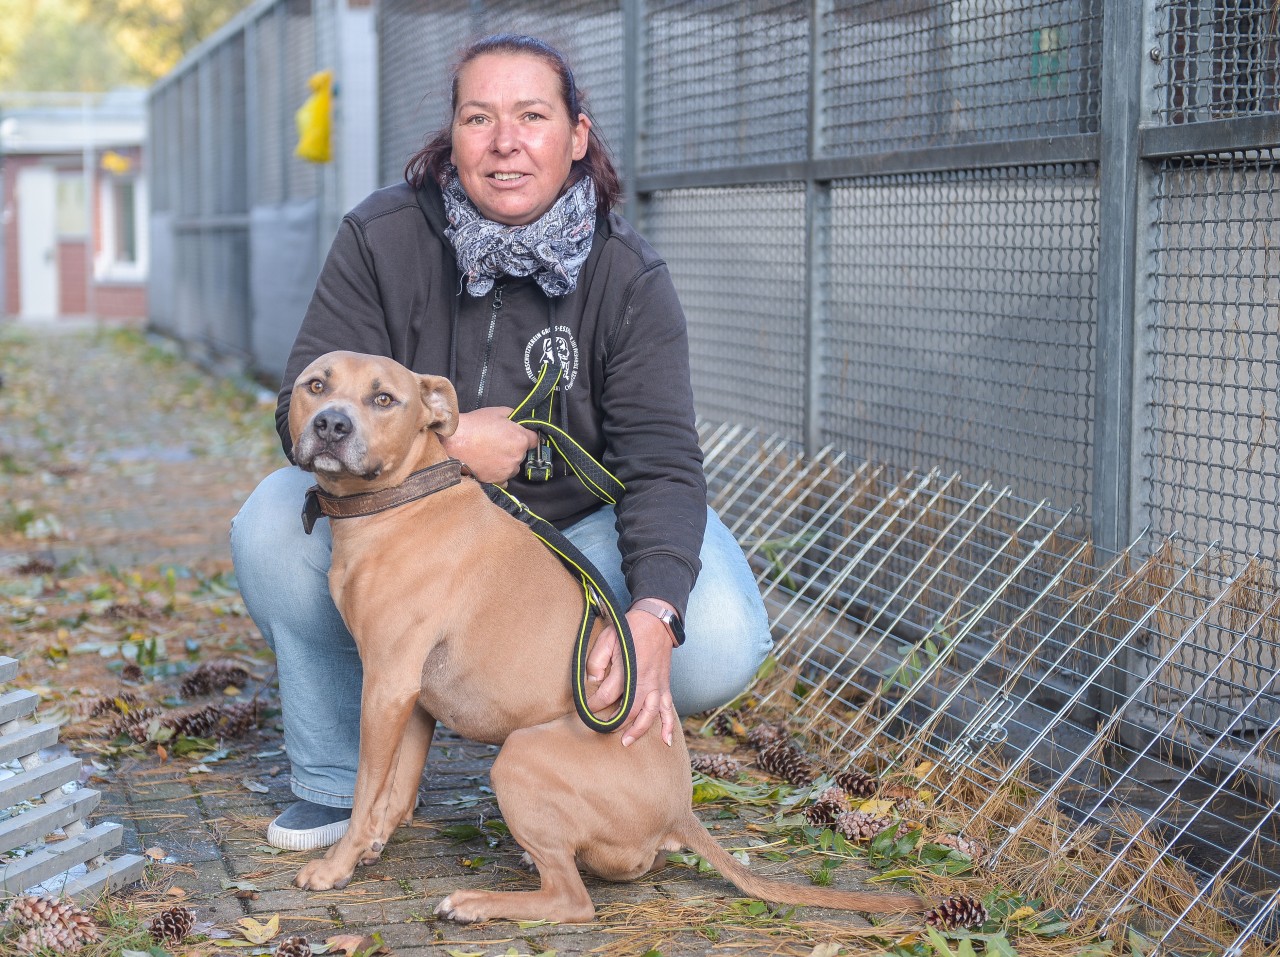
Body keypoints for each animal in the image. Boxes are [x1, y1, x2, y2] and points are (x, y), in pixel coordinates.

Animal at [286, 350, 926, 921]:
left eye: (383, 399)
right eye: (316, 385)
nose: (331, 424)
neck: (402, 500)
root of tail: (680, 812)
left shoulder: (386, 686)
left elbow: (365, 788)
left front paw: (337, 865)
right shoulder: (414, 698)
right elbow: (394, 788)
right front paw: (373, 842)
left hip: (519, 758)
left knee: (574, 902)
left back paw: (474, 903)